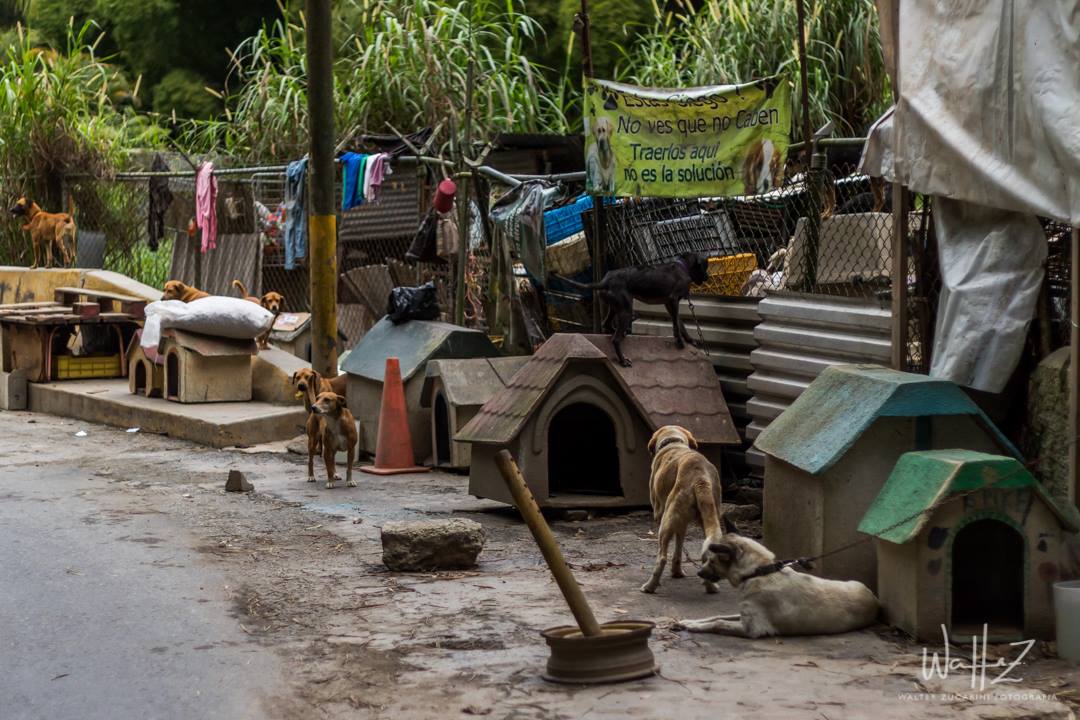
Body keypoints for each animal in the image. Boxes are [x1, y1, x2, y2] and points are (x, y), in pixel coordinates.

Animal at [639, 425, 725, 595]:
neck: (674, 442)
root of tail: (700, 477)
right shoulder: (682, 523)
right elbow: (679, 546)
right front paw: (677, 572)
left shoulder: (661, 514)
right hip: (710, 517)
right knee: (706, 555)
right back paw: (711, 587)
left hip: (666, 521)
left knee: (662, 557)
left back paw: (650, 586)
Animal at [669, 533, 881, 639]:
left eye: (712, 562)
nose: (698, 573)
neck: (759, 573)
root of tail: (875, 601)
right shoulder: (743, 614)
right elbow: (716, 616)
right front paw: (688, 622)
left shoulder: (752, 629)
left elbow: (718, 623)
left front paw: (693, 627)